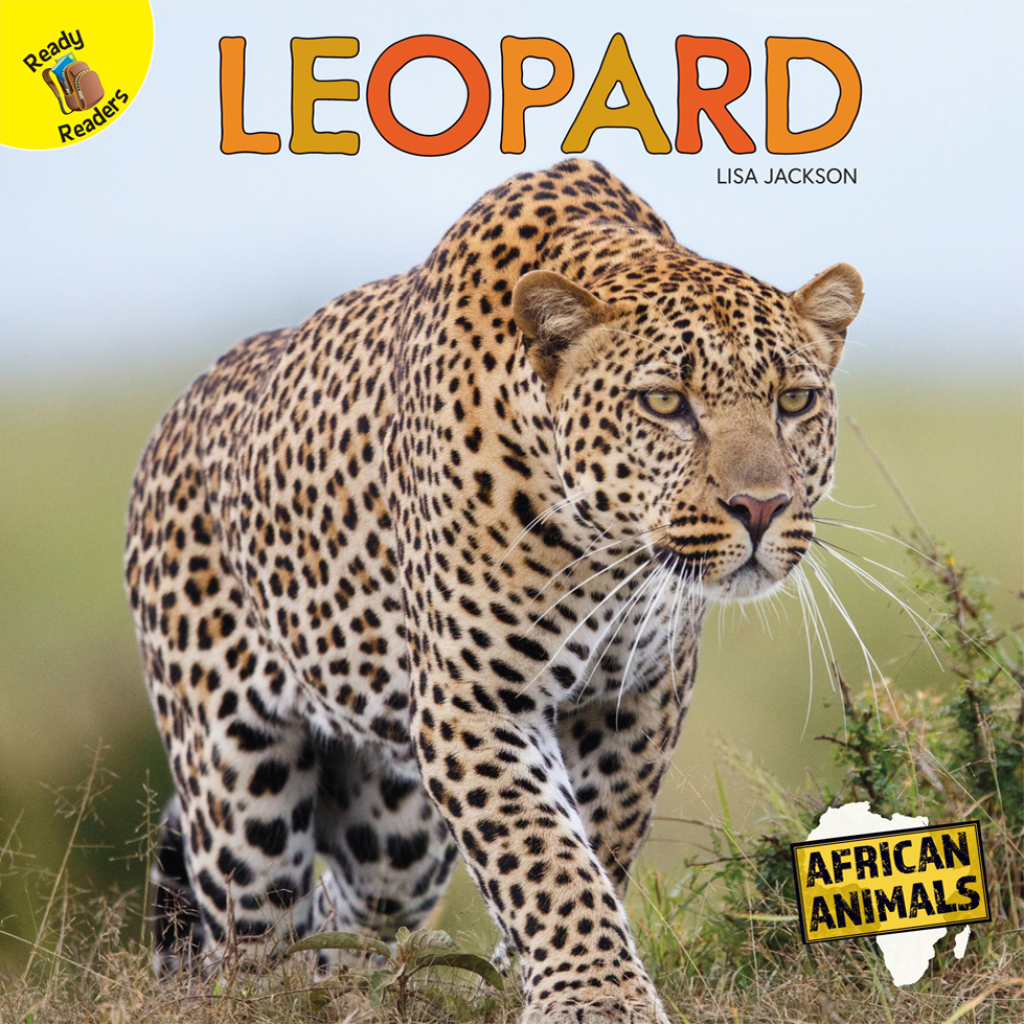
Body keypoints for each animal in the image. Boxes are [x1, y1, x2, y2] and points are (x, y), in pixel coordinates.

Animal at [125, 158, 863, 1023]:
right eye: (664, 403)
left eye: (795, 401)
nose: (760, 507)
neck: (606, 551)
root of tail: (173, 418)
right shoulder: (473, 701)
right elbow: (540, 849)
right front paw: (594, 995)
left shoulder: (637, 698)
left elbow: (594, 839)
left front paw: (528, 976)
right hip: (239, 787)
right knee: (253, 940)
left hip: (395, 829)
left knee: (351, 915)